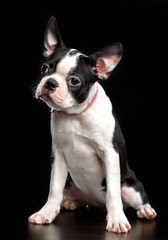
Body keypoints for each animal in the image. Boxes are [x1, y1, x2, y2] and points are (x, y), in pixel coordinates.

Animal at [28, 16, 157, 232]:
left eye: (74, 81)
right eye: (45, 68)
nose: (50, 83)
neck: (75, 114)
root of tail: (97, 204)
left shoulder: (110, 154)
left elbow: (113, 192)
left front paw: (117, 220)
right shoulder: (58, 155)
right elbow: (54, 188)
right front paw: (46, 212)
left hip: (130, 187)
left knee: (135, 198)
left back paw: (144, 210)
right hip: (71, 182)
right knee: (72, 194)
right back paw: (70, 202)